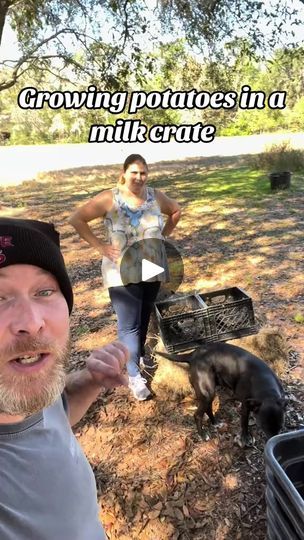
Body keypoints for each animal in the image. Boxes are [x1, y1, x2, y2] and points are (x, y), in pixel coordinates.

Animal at [156, 344, 286, 446]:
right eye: (264, 426)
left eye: (280, 426)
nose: (272, 441)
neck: (266, 387)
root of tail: (192, 354)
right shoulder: (245, 406)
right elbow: (244, 423)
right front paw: (245, 438)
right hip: (207, 392)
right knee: (197, 415)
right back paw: (203, 435)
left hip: (209, 393)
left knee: (208, 408)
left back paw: (215, 423)